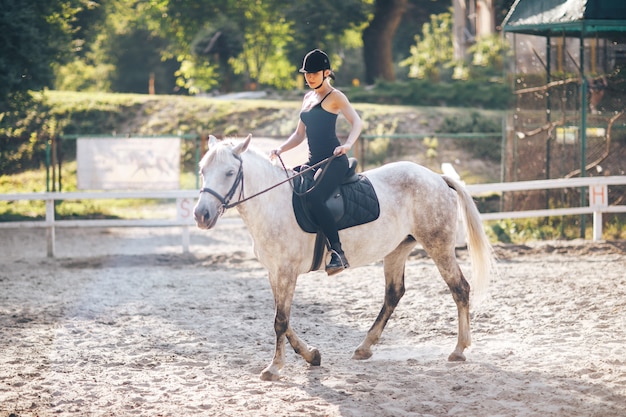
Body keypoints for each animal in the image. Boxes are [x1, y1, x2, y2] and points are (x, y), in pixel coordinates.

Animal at [191, 135, 492, 382]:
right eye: (203, 170)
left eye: (230, 172)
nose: (201, 215)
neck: (273, 203)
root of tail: (437, 177)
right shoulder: (274, 272)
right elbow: (284, 320)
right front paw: (311, 355)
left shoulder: (286, 272)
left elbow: (280, 321)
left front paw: (274, 367)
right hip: (397, 249)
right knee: (394, 294)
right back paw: (365, 347)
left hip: (438, 245)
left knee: (459, 288)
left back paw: (459, 350)